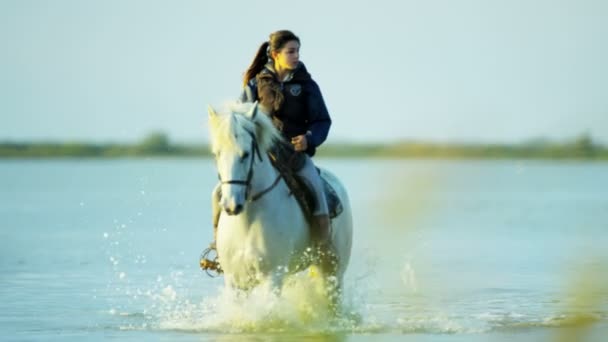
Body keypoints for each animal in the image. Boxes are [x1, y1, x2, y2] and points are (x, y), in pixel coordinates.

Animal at [208, 100, 354, 300]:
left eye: (246, 154)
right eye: (217, 154)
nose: (231, 205)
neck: (248, 221)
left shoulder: (272, 277)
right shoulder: (234, 280)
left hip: (334, 273)